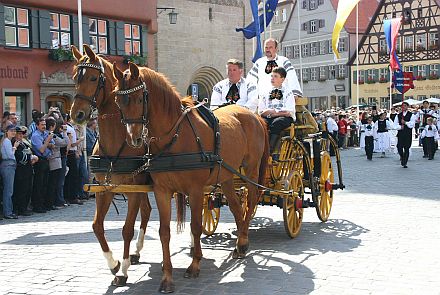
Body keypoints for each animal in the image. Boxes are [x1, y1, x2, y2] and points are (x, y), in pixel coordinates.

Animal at [69, 45, 151, 288]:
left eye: (93, 77)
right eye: (75, 78)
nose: (76, 114)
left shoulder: (134, 191)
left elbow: (126, 229)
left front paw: (122, 270)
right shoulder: (103, 190)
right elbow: (97, 226)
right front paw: (114, 263)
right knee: (147, 211)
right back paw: (136, 252)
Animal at [113, 63, 268, 294]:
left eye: (140, 99)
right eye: (118, 101)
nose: (135, 139)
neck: (175, 136)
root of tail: (253, 115)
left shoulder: (195, 190)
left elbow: (195, 227)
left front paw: (194, 265)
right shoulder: (162, 191)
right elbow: (164, 232)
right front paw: (167, 277)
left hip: (250, 170)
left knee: (251, 202)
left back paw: (243, 240)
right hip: (227, 176)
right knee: (236, 207)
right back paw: (240, 245)